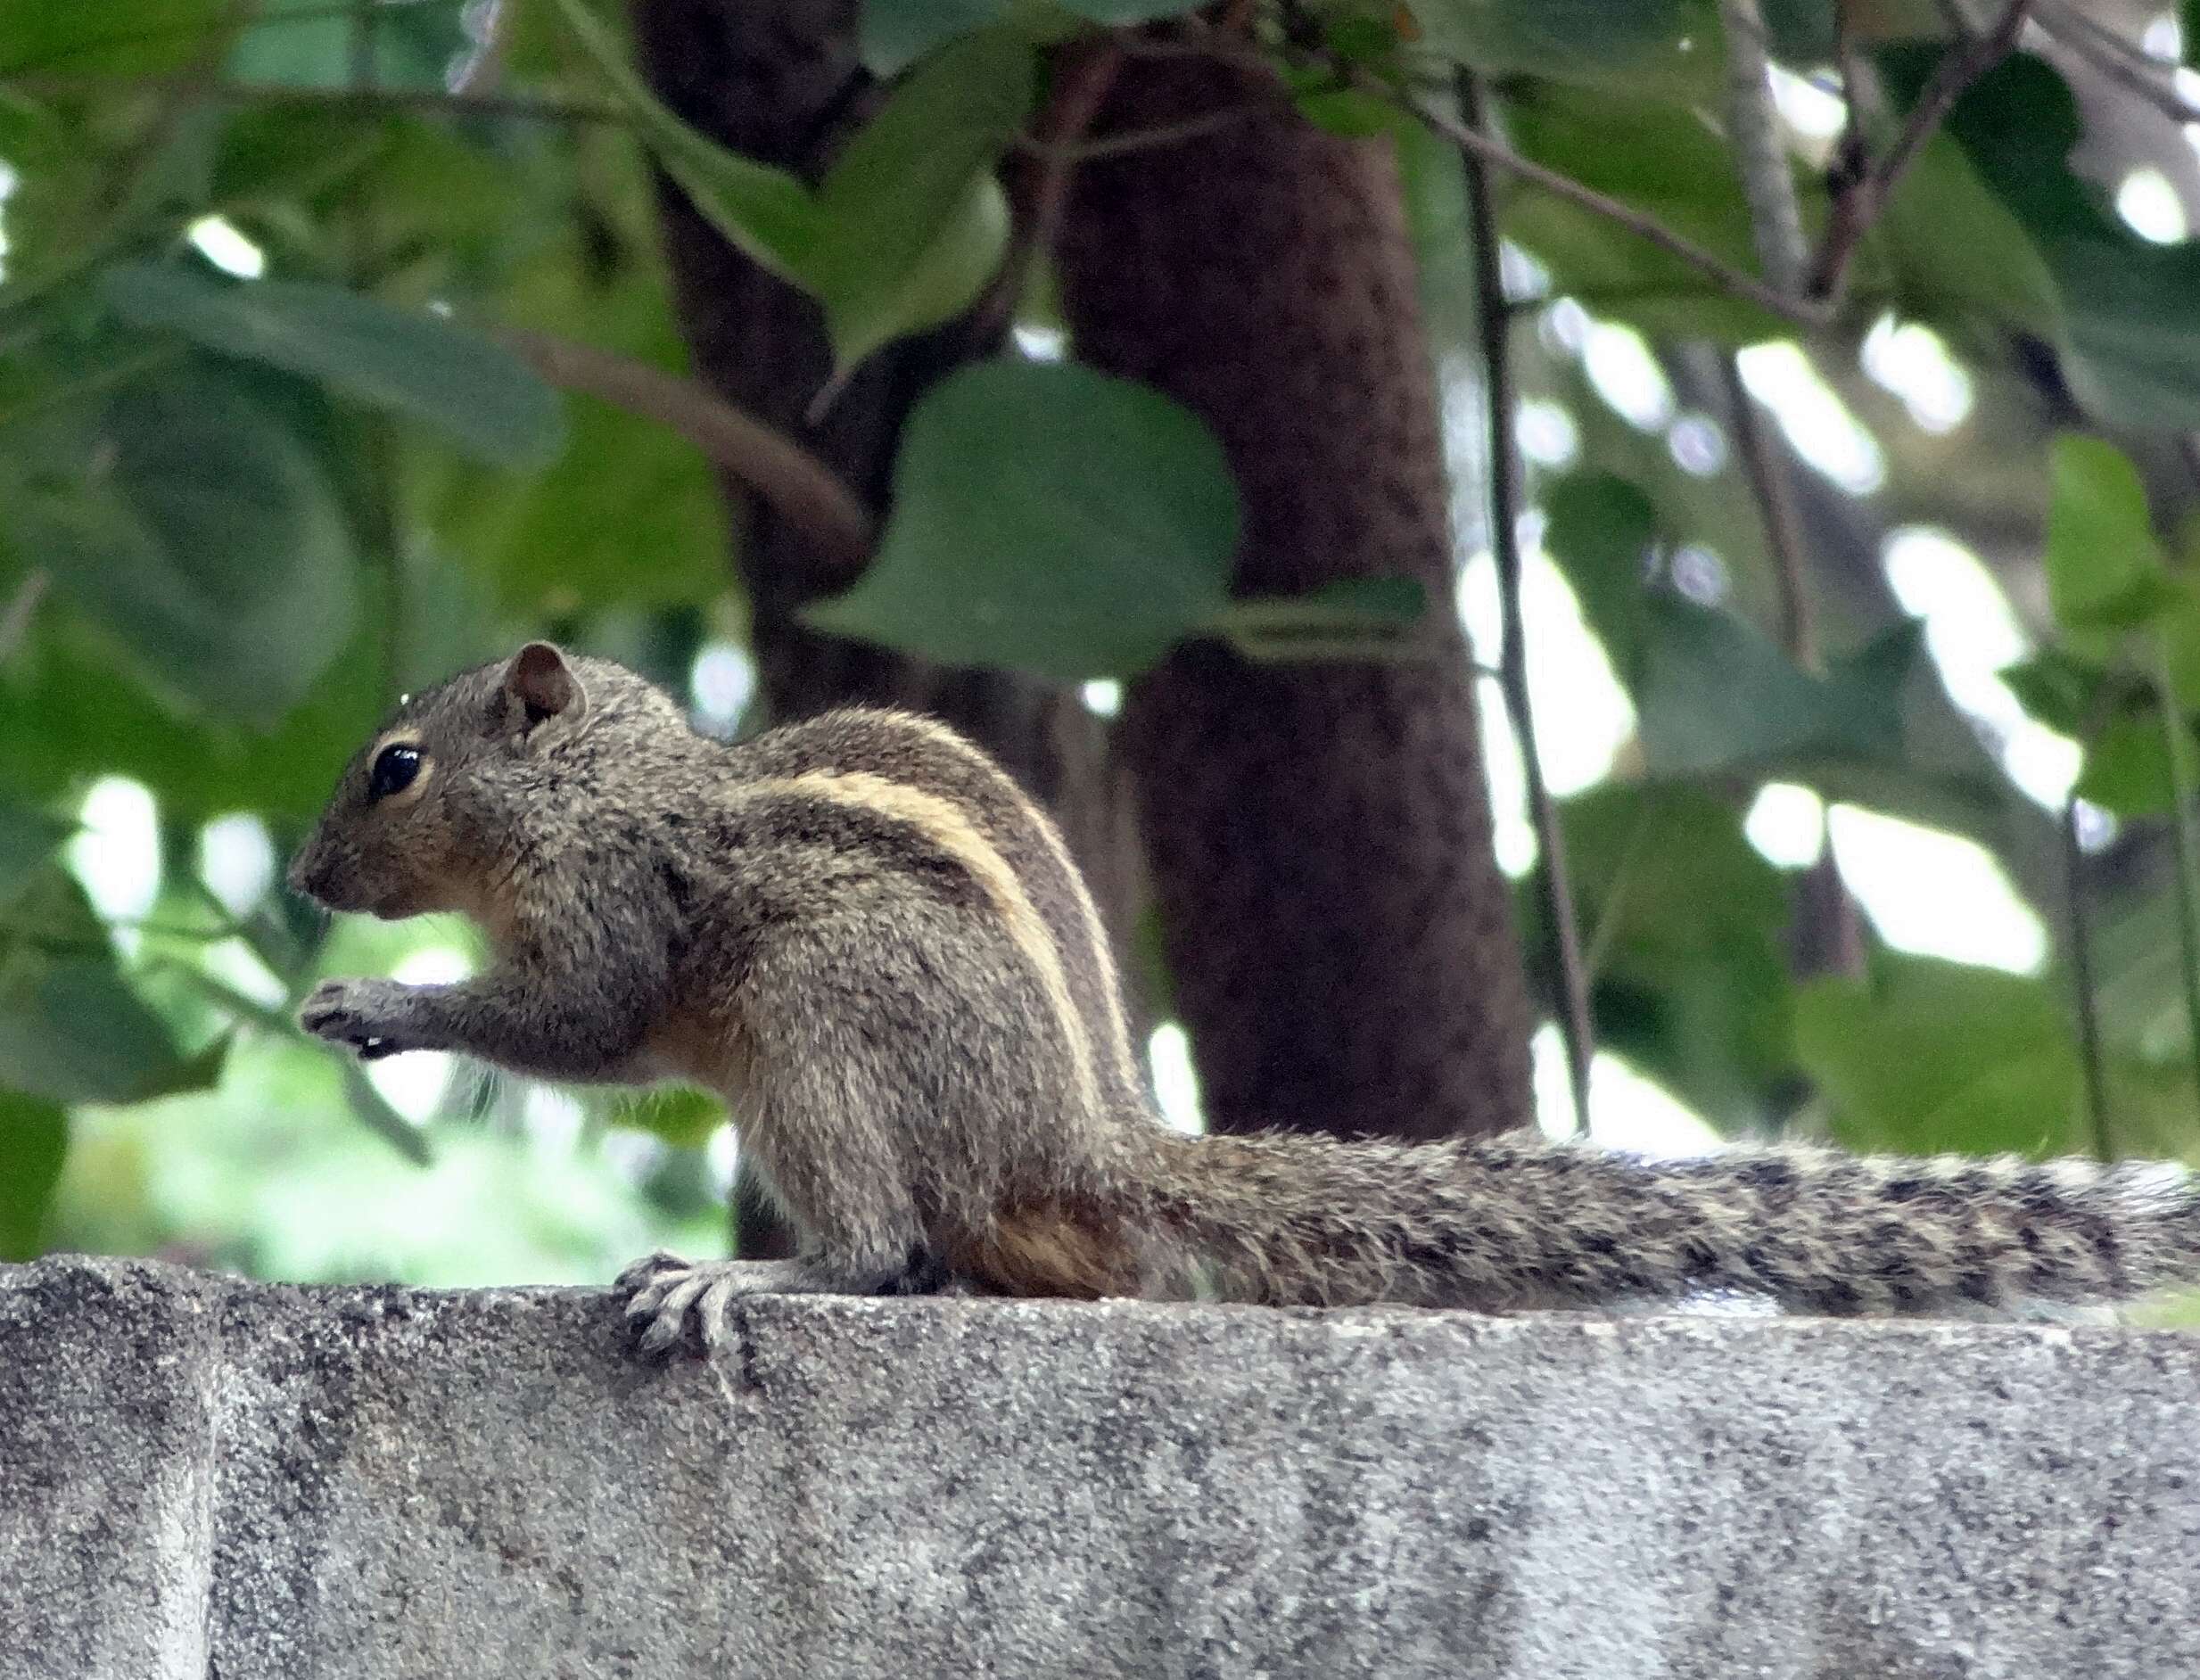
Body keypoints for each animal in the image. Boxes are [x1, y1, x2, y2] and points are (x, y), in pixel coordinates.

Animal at [288, 638, 2200, 1355]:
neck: (610, 785)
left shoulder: (614, 912)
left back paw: (736, 1270)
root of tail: (1086, 1142)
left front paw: (382, 1002)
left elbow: (578, 1022)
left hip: (825, 1039)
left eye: (394, 767)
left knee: (886, 1248)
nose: (302, 880)